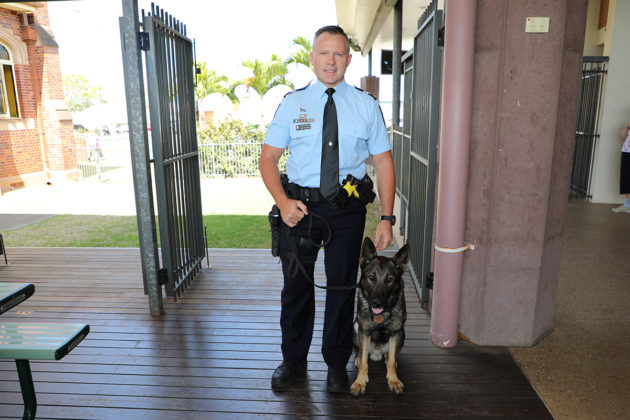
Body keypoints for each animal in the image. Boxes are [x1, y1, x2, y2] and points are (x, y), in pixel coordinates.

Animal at [350, 238, 410, 396]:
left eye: (389, 279)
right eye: (371, 277)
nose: (377, 303)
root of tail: (376, 352)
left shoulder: (396, 332)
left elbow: (392, 361)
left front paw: (393, 380)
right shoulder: (364, 332)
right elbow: (364, 362)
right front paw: (360, 382)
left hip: (402, 334)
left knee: (390, 356)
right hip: (356, 327)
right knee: (360, 352)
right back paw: (358, 359)